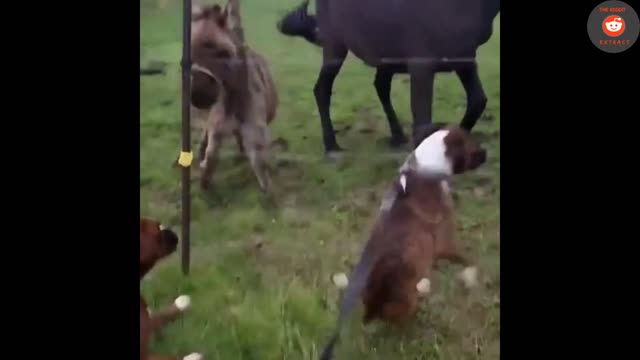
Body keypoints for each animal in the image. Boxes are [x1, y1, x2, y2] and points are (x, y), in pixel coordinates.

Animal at [141, 217, 201, 360]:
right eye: (158, 227)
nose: (174, 233)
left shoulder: (149, 320)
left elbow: (161, 315)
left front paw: (181, 303)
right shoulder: (143, 354)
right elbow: (171, 357)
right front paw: (193, 356)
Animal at [278, 0, 498, 158]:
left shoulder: (465, 61)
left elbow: (477, 102)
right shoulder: (422, 65)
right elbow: (422, 123)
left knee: (380, 86)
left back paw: (397, 136)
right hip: (335, 46)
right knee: (322, 89)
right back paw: (332, 147)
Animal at [318, 124, 488, 360]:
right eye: (473, 144)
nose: (487, 152)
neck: (425, 169)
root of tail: (376, 298)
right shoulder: (446, 243)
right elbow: (467, 260)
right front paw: (472, 273)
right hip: (406, 301)